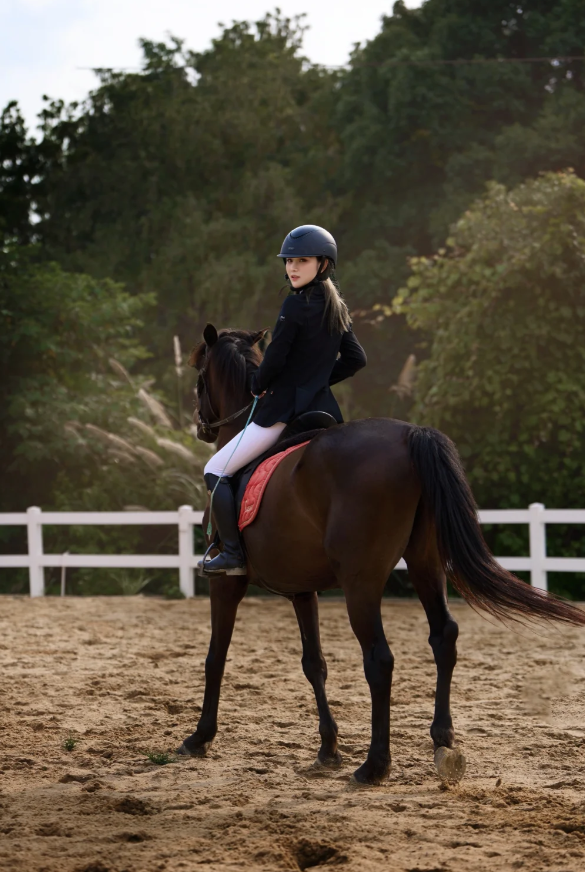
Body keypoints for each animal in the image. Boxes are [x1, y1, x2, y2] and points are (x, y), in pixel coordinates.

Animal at [178, 323, 585, 785]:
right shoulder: (302, 589)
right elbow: (314, 663)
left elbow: (216, 656)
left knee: (379, 658)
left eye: (199, 377)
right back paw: (442, 738)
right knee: (443, 636)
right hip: (426, 564)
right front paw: (328, 748)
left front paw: (199, 737)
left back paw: (375, 764)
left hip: (361, 581)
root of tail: (410, 435)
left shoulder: (228, 582)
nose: (201, 427)